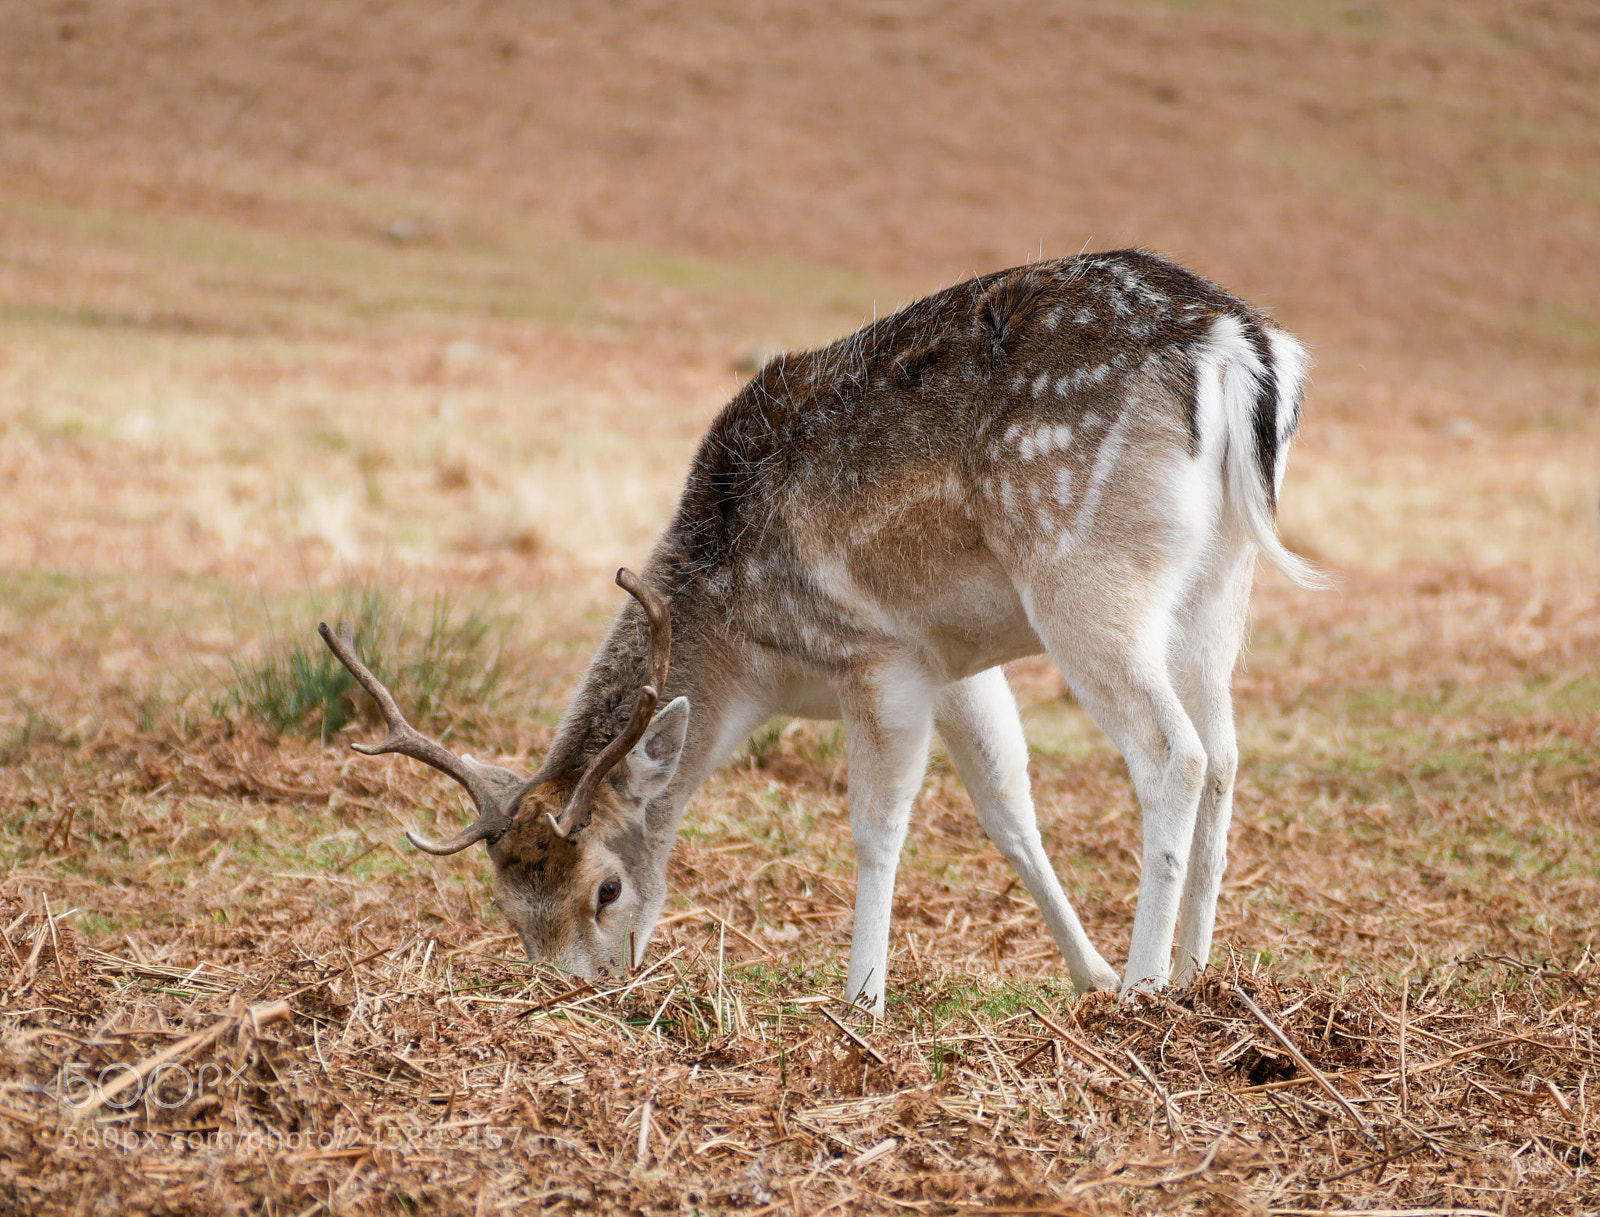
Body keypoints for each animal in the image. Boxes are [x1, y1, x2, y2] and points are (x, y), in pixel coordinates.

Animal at [317, 248, 1325, 1013]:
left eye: (605, 886)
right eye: (508, 907)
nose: (578, 994)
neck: (750, 657)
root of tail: (1238, 347)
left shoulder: (876, 653)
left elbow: (878, 826)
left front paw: (862, 999)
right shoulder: (956, 663)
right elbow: (1009, 810)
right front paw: (1089, 972)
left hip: (1085, 577)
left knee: (1173, 753)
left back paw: (1147, 990)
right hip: (1215, 586)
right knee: (1227, 754)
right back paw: (1196, 977)